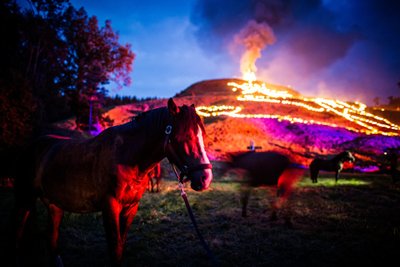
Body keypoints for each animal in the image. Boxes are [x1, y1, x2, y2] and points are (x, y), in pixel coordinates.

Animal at [12, 99, 212, 267]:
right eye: (184, 136)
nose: (206, 178)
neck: (126, 156)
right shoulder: (110, 207)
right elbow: (115, 248)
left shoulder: (131, 207)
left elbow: (121, 245)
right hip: (25, 199)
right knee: (19, 231)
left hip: (54, 205)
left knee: (51, 236)